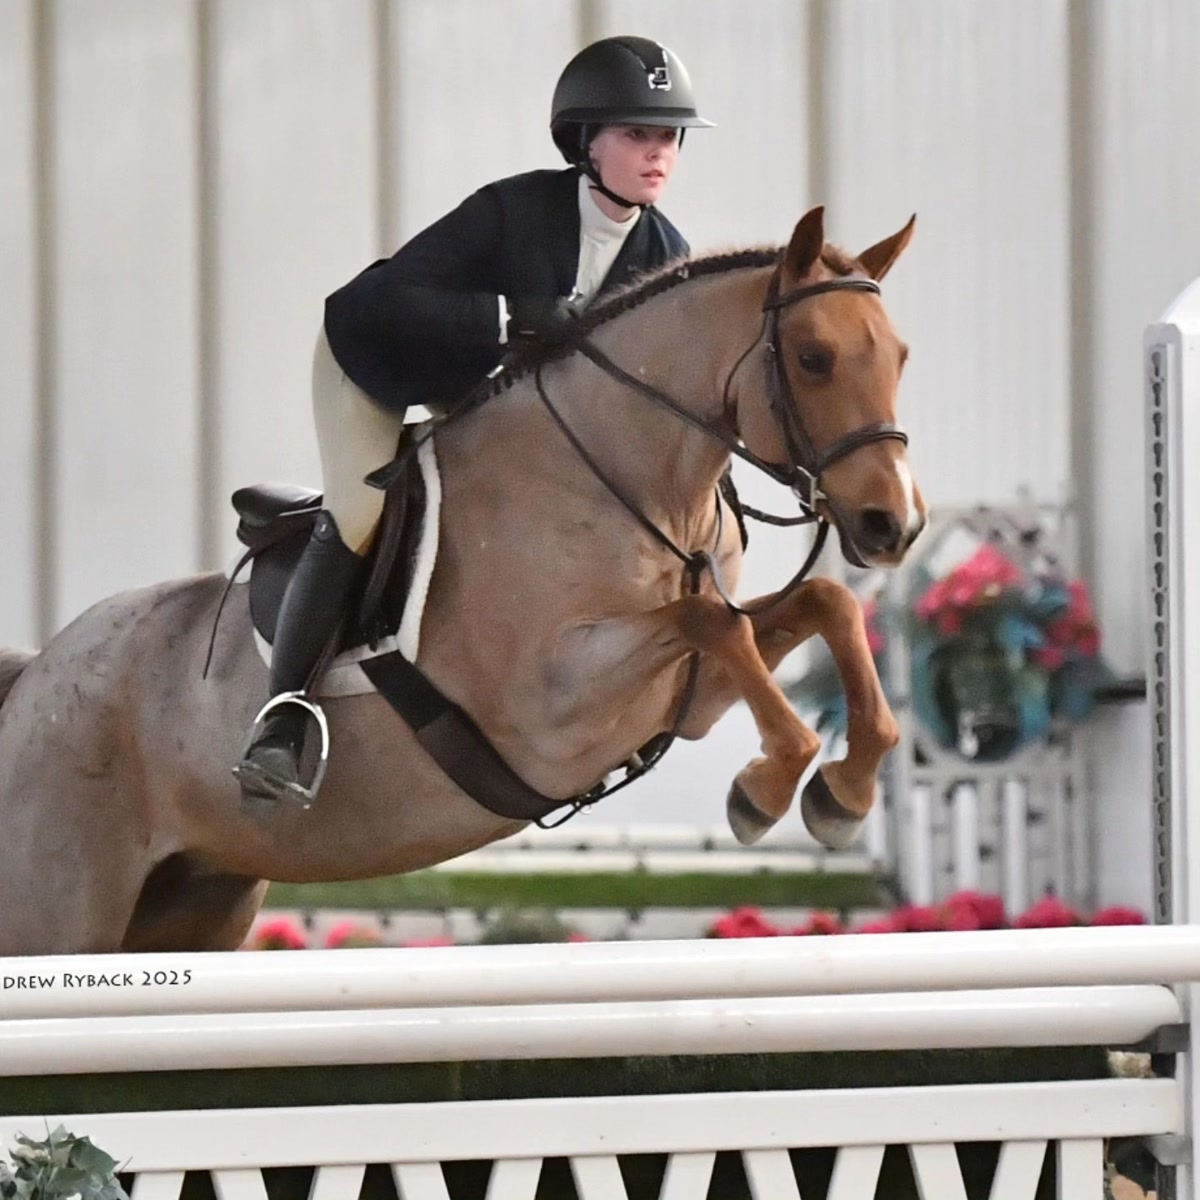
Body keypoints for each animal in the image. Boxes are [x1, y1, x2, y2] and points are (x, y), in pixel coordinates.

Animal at [0, 206, 924, 955]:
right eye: (813, 357)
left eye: (901, 355)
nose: (895, 526)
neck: (631, 477)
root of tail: (35, 677)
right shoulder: (555, 708)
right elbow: (715, 623)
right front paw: (769, 789)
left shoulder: (684, 700)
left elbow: (819, 604)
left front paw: (838, 791)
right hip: (58, 914)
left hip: (197, 900)